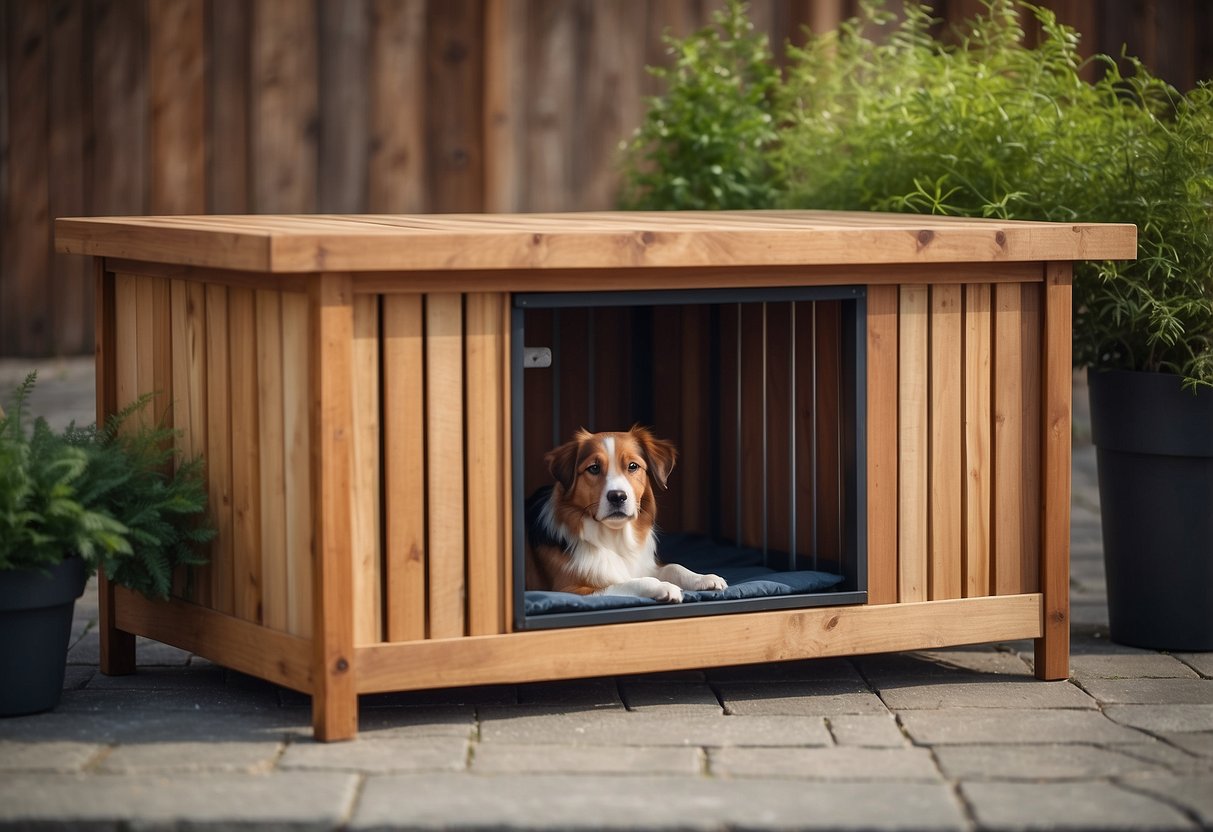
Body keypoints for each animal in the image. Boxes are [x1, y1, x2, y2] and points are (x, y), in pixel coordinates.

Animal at [524, 426, 727, 603]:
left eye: (632, 466)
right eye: (594, 468)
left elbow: (674, 567)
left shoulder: (644, 565)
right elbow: (633, 582)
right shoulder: (571, 590)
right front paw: (664, 587)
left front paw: (702, 578)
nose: (617, 496)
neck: (615, 538)